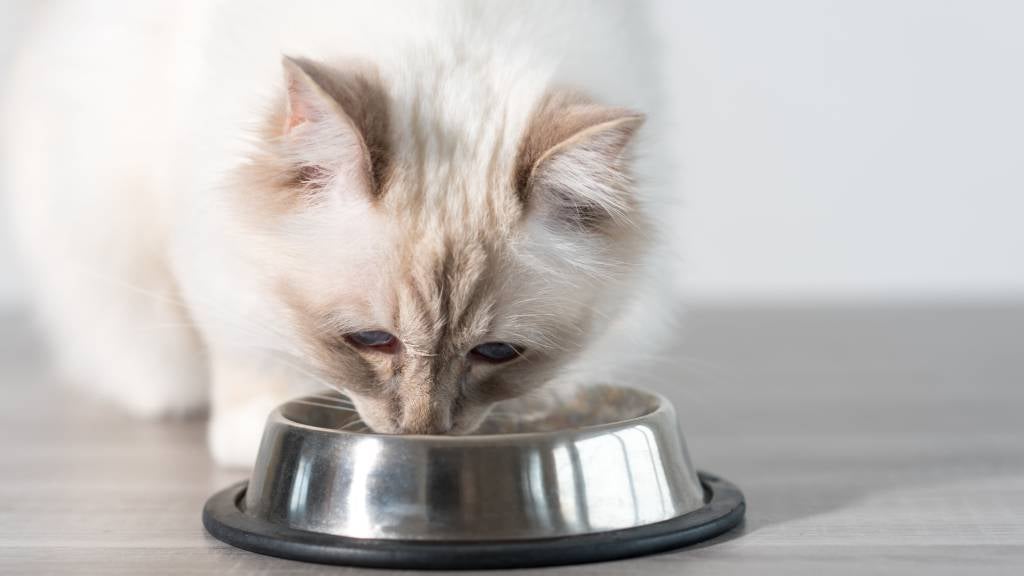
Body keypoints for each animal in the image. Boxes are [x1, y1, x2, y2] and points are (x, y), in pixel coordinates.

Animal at [6, 0, 679, 467]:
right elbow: (247, 348)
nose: (422, 434)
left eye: (495, 353)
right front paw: (251, 430)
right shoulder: (206, 236)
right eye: (370, 340)